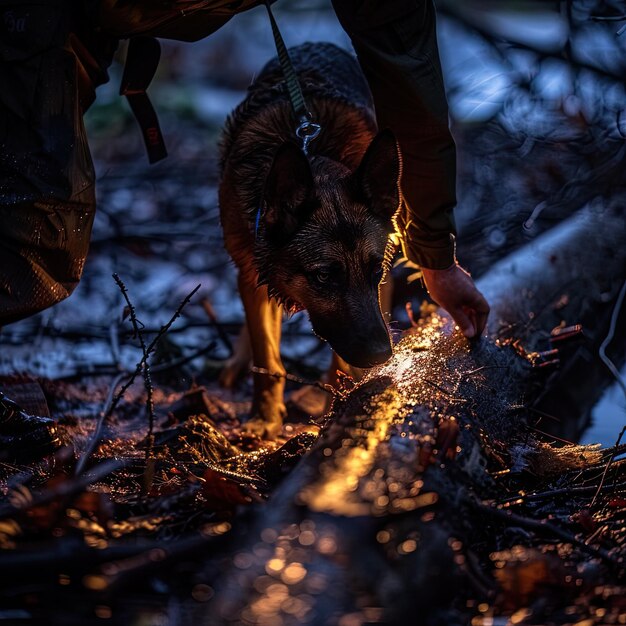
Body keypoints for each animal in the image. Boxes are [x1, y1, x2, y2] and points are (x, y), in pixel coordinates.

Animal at [219, 41, 400, 436]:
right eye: (323, 275)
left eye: (374, 270)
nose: (382, 355)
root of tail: (317, 43)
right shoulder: (253, 274)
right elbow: (267, 359)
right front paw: (264, 419)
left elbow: (342, 364)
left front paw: (338, 409)